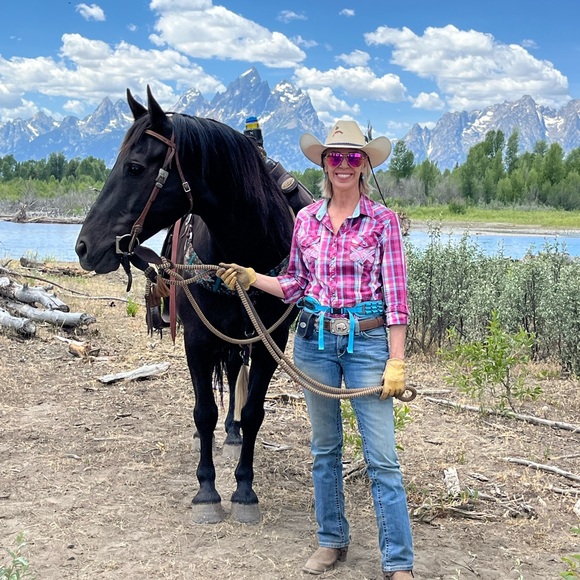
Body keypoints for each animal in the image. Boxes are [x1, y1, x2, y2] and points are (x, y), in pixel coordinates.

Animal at [75, 86, 313, 524]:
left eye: (134, 167)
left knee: (235, 375)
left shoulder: (271, 340)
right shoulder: (198, 339)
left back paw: (233, 434)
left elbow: (254, 412)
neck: (246, 245)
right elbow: (204, 412)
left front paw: (244, 490)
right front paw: (207, 491)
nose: (84, 246)